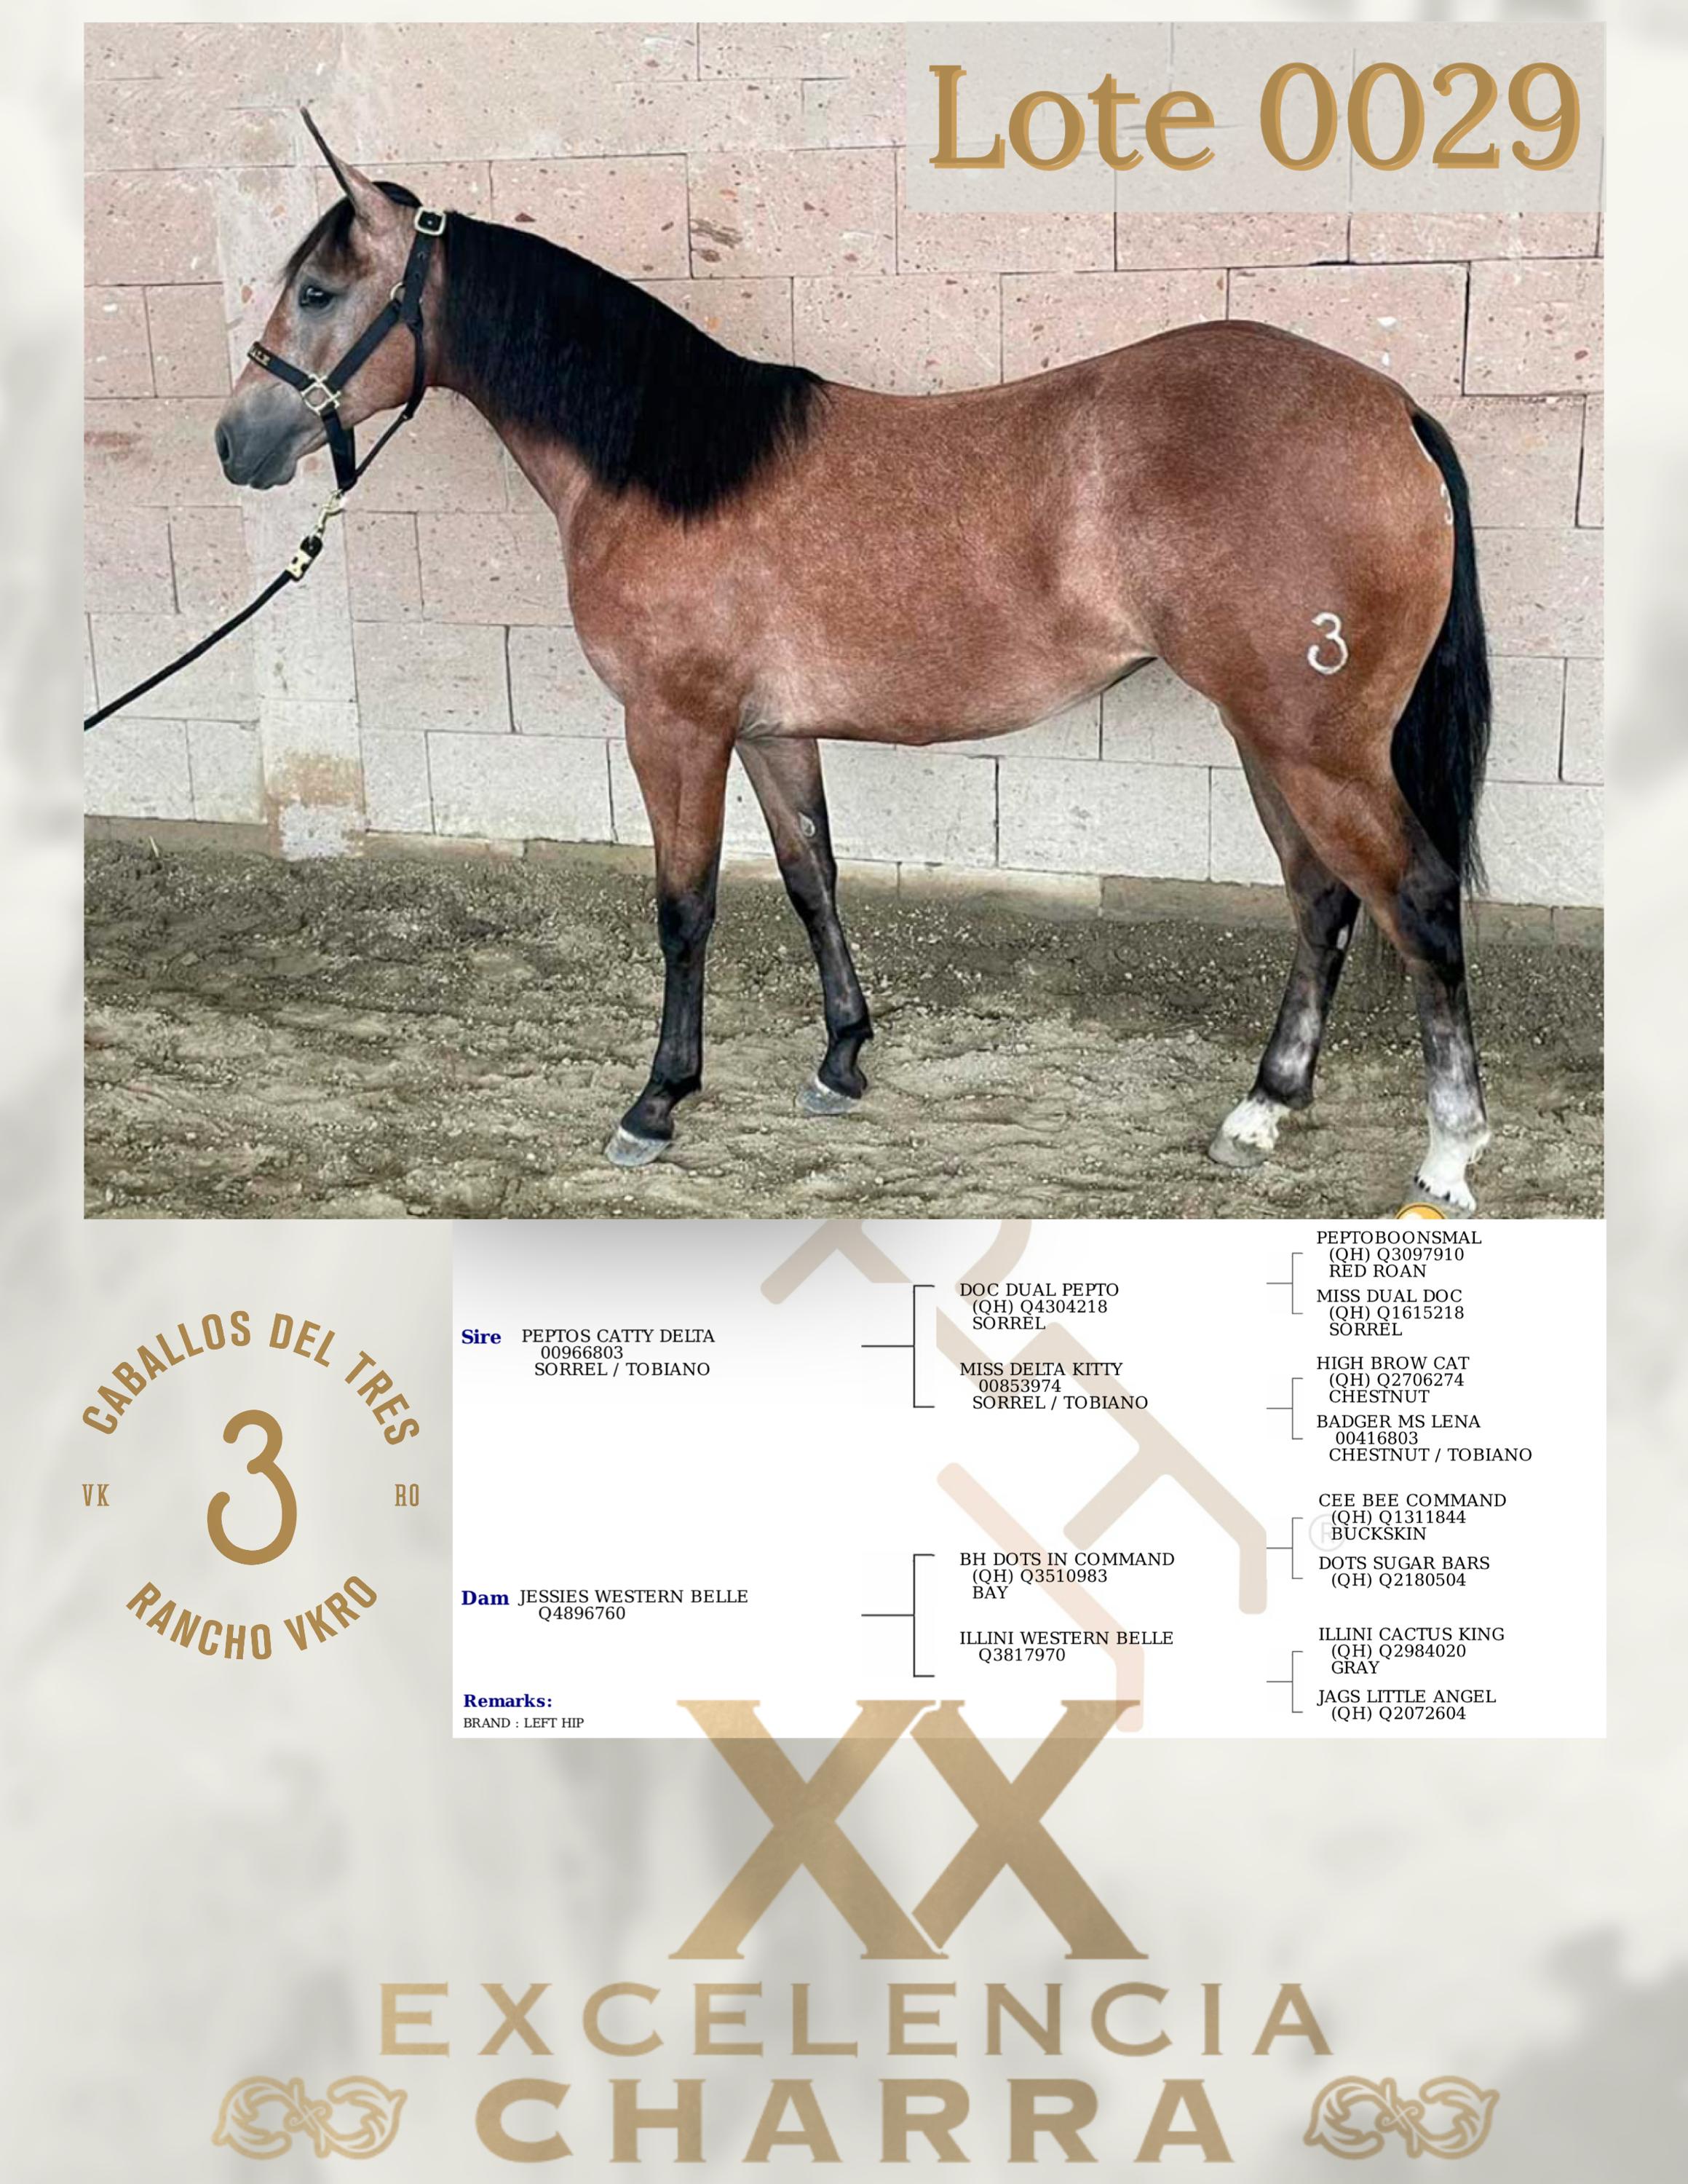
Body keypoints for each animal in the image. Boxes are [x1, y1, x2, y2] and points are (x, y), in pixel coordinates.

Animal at [214, 119, 1494, 1212]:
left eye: (318, 291)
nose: (235, 443)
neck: (670, 465)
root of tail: (1390, 408)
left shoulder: (674, 726)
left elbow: (686, 909)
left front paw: (657, 1101)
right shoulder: (772, 731)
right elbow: (809, 878)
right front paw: (840, 1060)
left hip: (1313, 746)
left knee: (1415, 903)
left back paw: (1445, 1155)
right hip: (1263, 735)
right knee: (1322, 900)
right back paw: (1261, 1111)